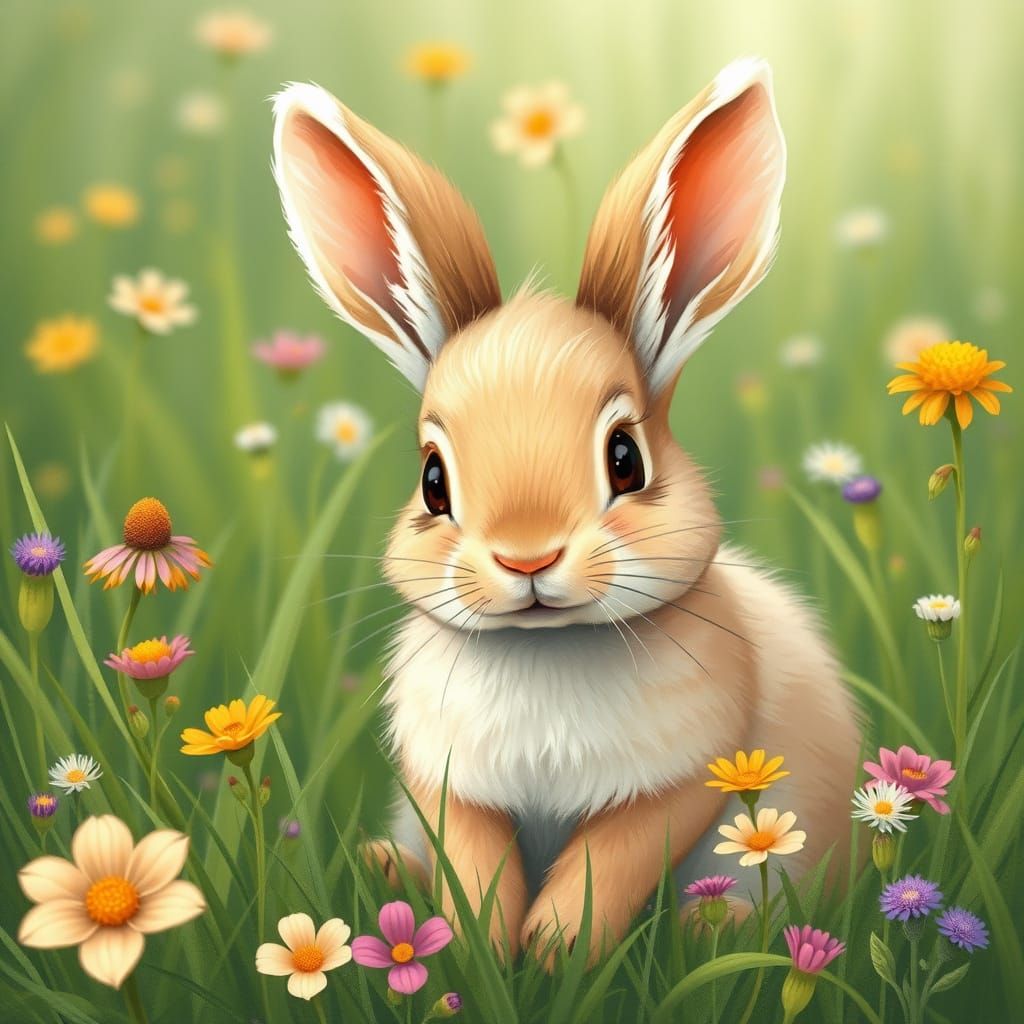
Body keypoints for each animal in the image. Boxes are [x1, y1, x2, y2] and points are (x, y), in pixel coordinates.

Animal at [271, 56, 861, 966]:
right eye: (433, 480)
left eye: (626, 458)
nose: (527, 558)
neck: (545, 650)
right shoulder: (450, 789)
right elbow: (475, 867)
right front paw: (480, 948)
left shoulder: (677, 787)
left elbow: (607, 867)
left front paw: (554, 954)